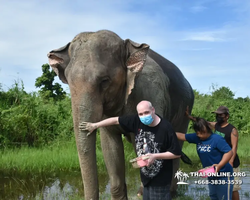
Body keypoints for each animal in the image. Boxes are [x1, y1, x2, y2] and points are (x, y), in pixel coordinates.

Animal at [47, 28, 195, 199]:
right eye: (69, 82)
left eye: (104, 81)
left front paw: (143, 193)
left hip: (186, 108)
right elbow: (110, 147)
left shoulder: (152, 92)